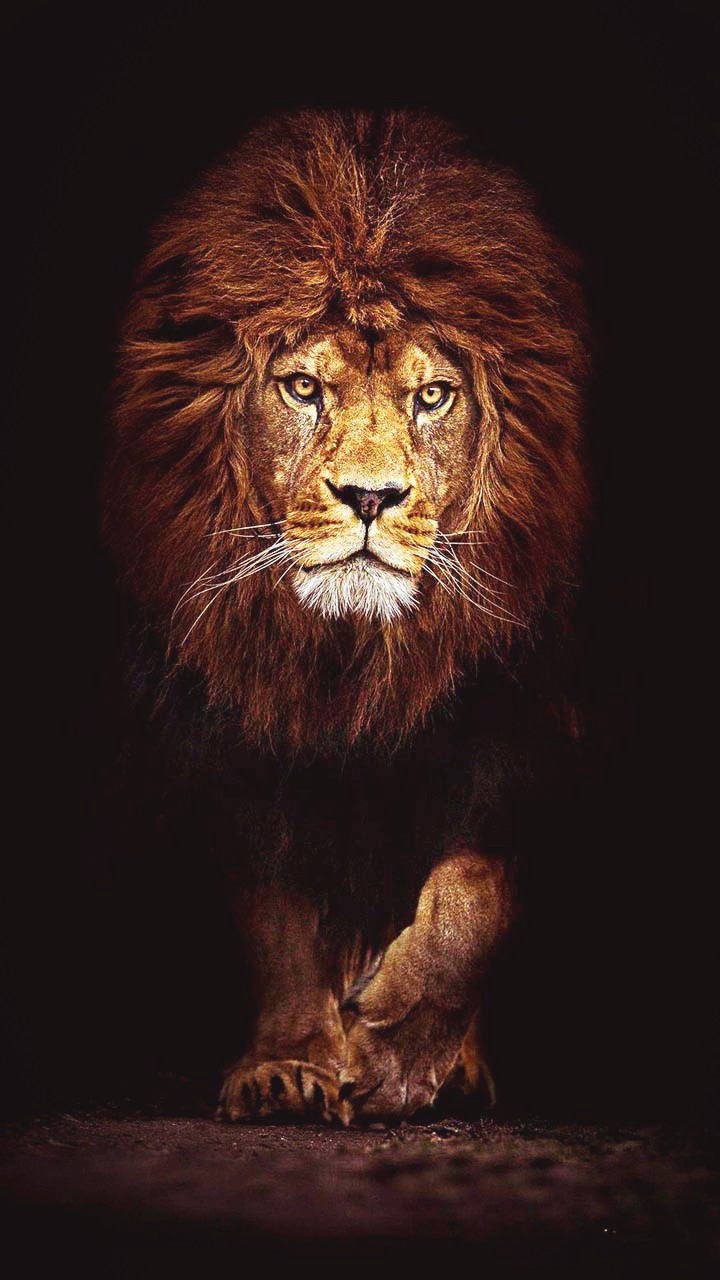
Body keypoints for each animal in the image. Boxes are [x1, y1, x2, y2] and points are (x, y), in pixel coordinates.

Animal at [103, 109, 588, 1123]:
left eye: (432, 395)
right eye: (303, 388)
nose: (370, 497)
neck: (353, 658)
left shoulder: (525, 714)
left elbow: (474, 891)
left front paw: (399, 1054)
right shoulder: (233, 726)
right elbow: (276, 911)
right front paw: (290, 1064)